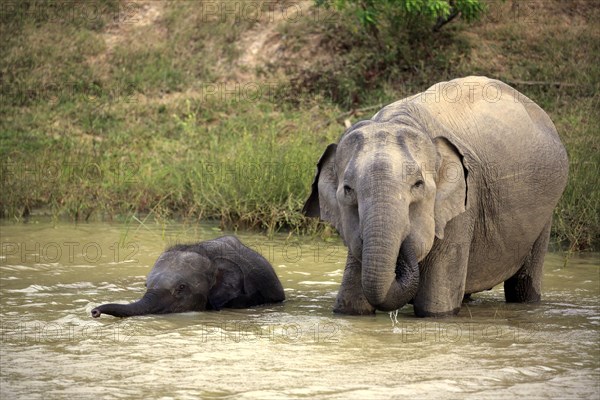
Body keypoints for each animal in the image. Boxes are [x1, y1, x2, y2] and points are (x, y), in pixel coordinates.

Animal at [302, 76, 568, 318]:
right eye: (348, 190)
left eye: (418, 185)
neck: (398, 119)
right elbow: (352, 303)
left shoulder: (465, 205)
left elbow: (433, 307)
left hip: (545, 213)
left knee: (522, 287)